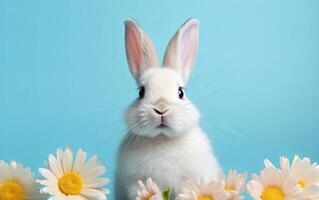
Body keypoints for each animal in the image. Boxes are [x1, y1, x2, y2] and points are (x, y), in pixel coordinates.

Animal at [115, 18, 222, 199]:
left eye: (181, 92)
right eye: (141, 92)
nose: (161, 109)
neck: (162, 139)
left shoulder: (188, 182)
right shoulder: (135, 183)